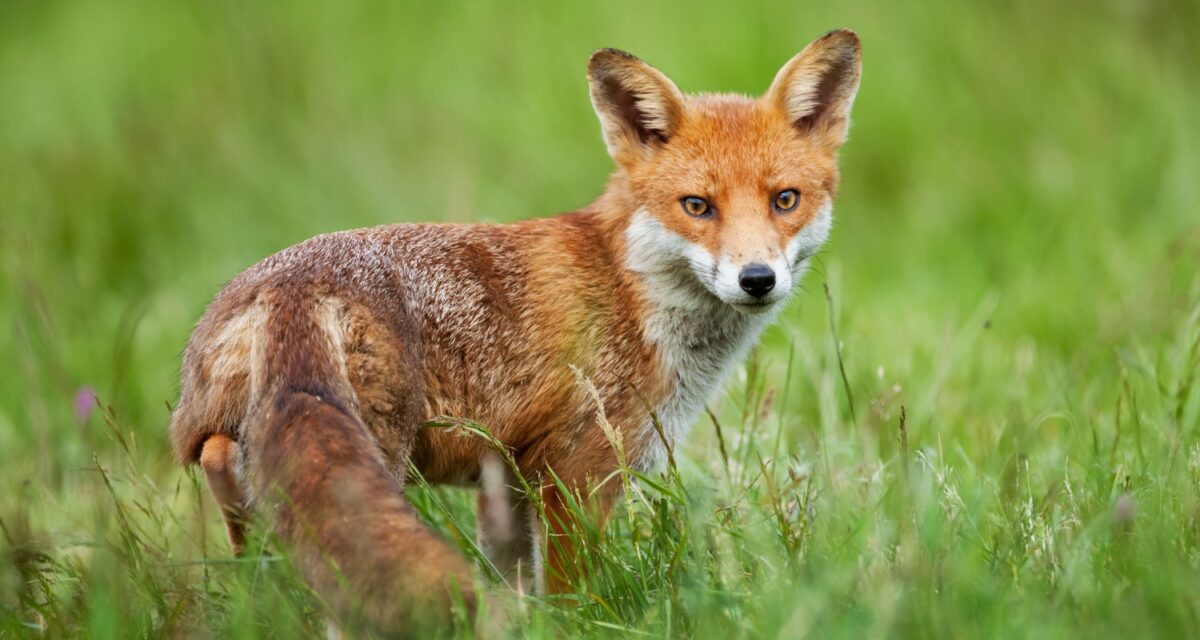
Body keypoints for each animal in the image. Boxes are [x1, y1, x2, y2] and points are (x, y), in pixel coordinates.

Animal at [170, 29, 861, 635]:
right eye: (697, 206)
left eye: (785, 199)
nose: (757, 279)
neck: (632, 292)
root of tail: (291, 286)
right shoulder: (577, 473)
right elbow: (569, 598)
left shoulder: (507, 481)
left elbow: (514, 591)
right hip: (379, 460)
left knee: (240, 497)